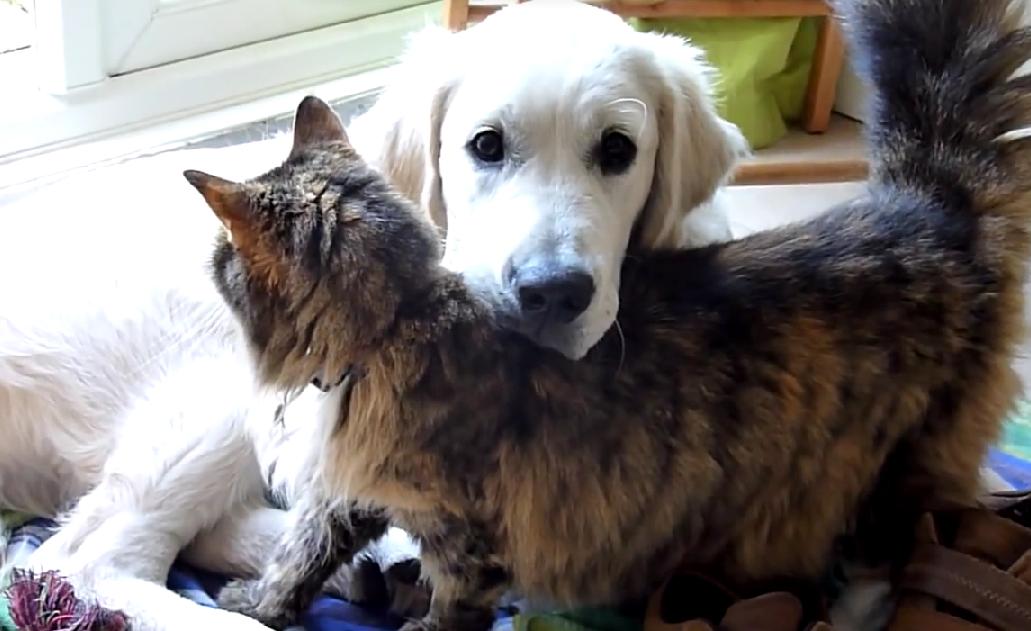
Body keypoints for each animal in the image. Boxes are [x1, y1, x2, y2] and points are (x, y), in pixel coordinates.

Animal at [0, 2, 742, 626]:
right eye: (485, 145)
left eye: (619, 150)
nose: (551, 293)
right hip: (223, 387)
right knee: (83, 557)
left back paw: (371, 567)